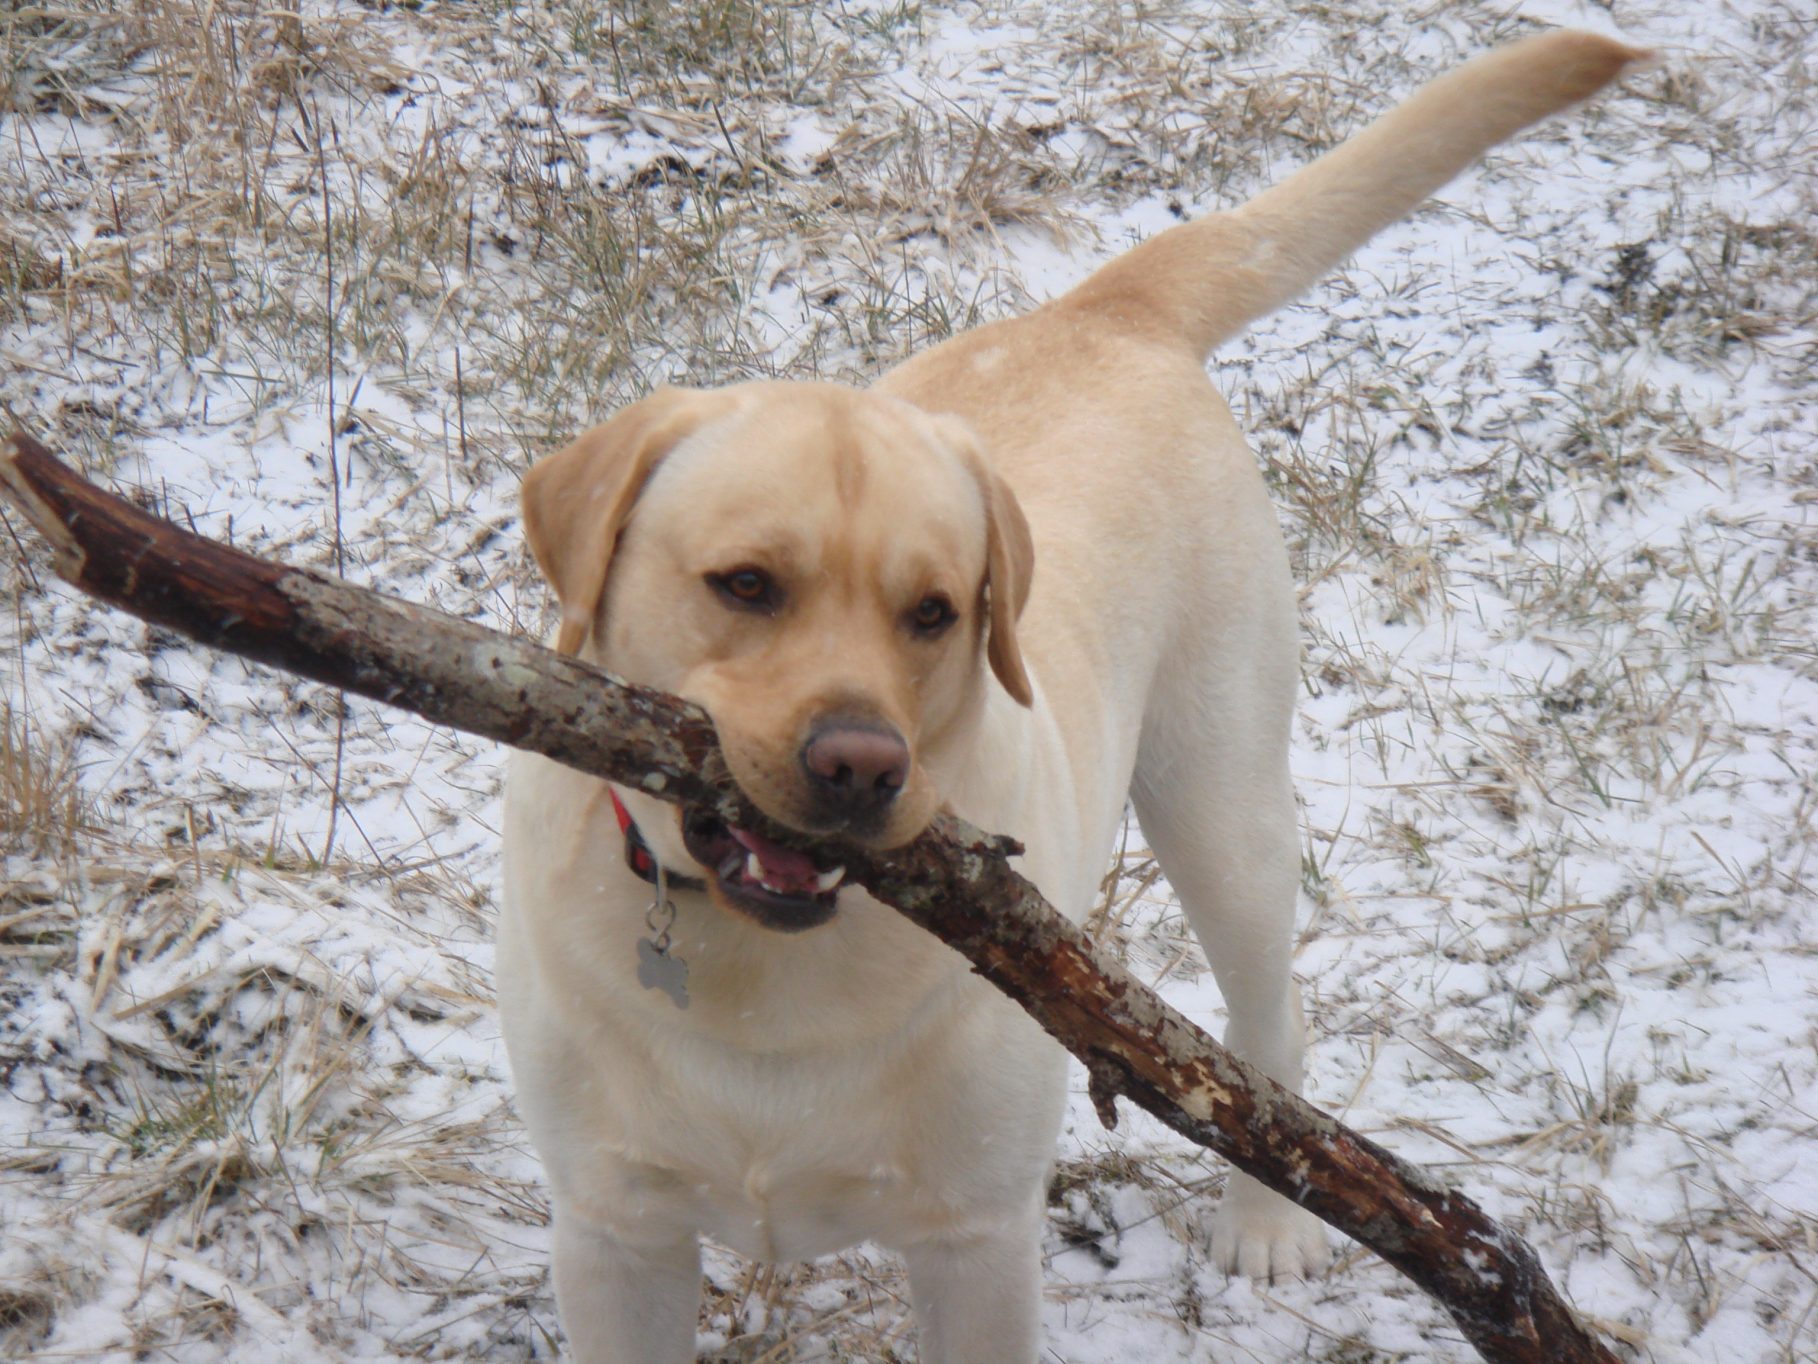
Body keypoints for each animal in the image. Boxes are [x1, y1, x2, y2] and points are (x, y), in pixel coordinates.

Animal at [498, 31, 1643, 1361]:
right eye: (745, 583)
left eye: (935, 610)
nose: (861, 767)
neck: (762, 969)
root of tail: (1107, 309)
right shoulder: (614, 1230)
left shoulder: (976, 1237)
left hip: (1220, 801)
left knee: (1263, 1044)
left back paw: (1270, 1215)